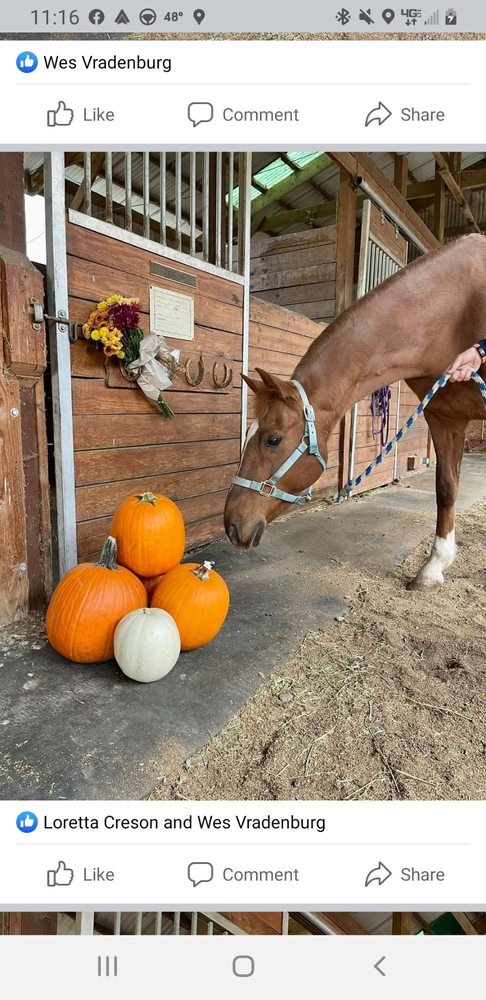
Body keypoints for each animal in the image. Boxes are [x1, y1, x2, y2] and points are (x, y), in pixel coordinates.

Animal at [224, 234, 486, 590]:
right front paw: (433, 568)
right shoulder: (445, 419)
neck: (455, 311)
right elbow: (446, 488)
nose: (231, 526)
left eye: (273, 440)